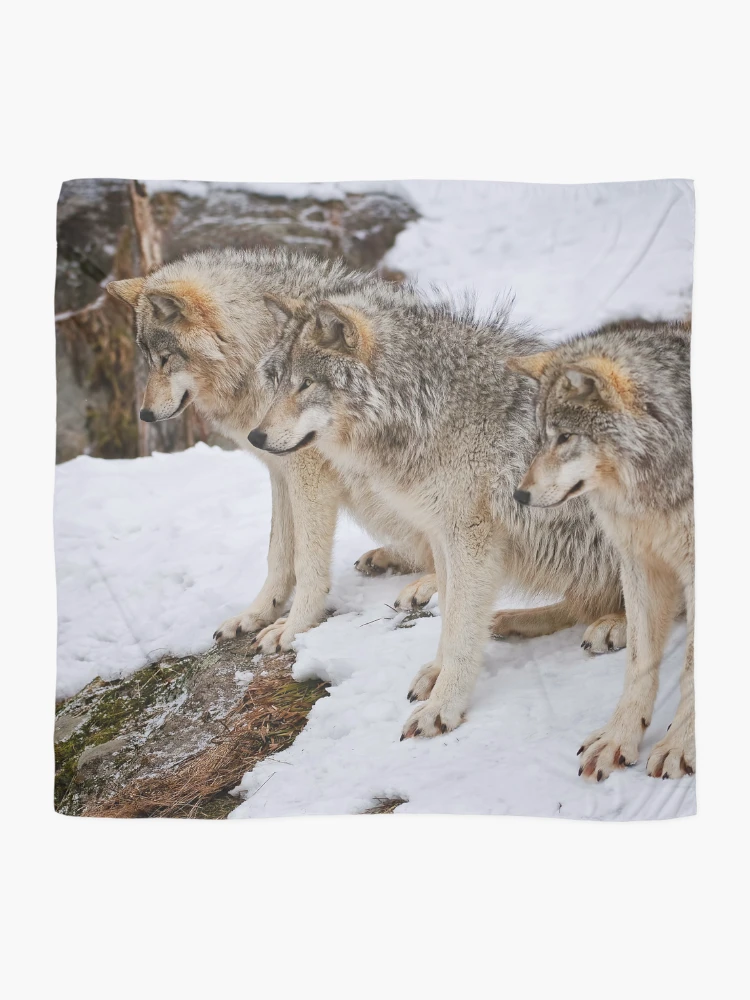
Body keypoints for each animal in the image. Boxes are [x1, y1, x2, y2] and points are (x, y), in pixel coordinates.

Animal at [249, 289, 626, 738]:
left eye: (306, 384)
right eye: (275, 382)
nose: (255, 436)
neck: (424, 407)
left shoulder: (470, 538)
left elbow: (460, 628)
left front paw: (443, 707)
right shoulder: (443, 533)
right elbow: (451, 619)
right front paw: (435, 674)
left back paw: (614, 625)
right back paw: (513, 620)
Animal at [510, 319, 695, 779]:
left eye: (566, 437)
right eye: (541, 438)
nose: (518, 496)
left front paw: (681, 745)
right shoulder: (640, 560)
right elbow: (640, 667)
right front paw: (617, 739)